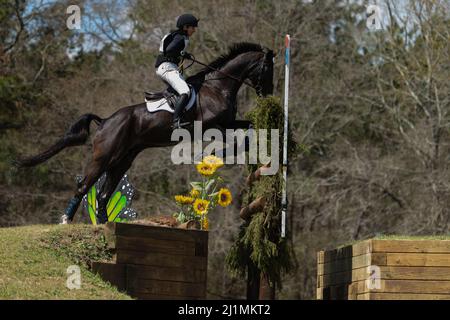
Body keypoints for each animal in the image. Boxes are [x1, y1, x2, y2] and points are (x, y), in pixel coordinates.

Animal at [14, 42, 274, 224]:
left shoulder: (229, 123)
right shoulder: (210, 127)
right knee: (84, 186)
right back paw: (66, 220)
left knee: (103, 194)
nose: (268, 94)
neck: (218, 87)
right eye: (267, 68)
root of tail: (105, 121)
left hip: (122, 160)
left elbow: (249, 128)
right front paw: (218, 155)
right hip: (104, 157)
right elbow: (234, 141)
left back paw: (104, 223)